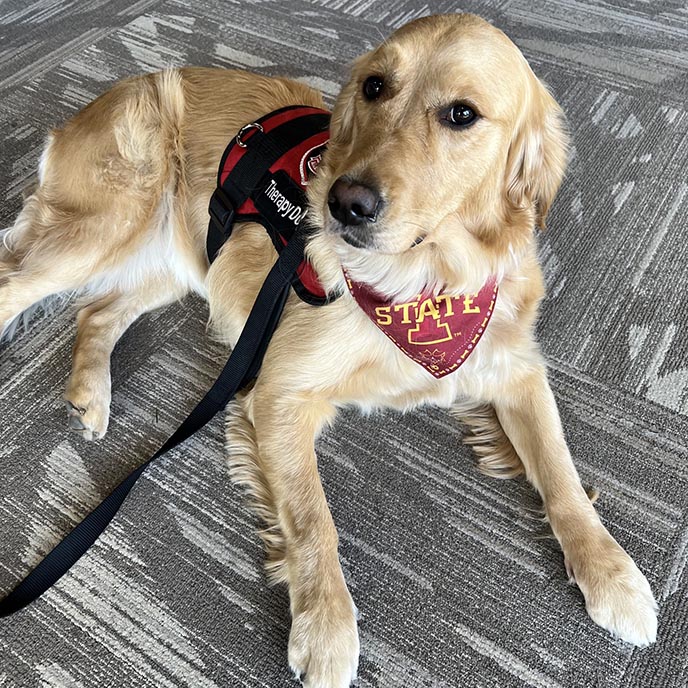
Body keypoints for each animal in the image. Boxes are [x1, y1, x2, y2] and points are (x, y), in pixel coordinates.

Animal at [0, 12, 656, 688]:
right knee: (12, 286)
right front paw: (326, 629)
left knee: (97, 311)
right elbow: (315, 520)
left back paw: (90, 392)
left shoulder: (517, 370)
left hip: (181, 259)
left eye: (462, 115)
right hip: (109, 222)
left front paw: (614, 575)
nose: (346, 203)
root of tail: (93, 105)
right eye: (374, 86)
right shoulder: (280, 392)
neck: (427, 283)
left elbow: (562, 473)